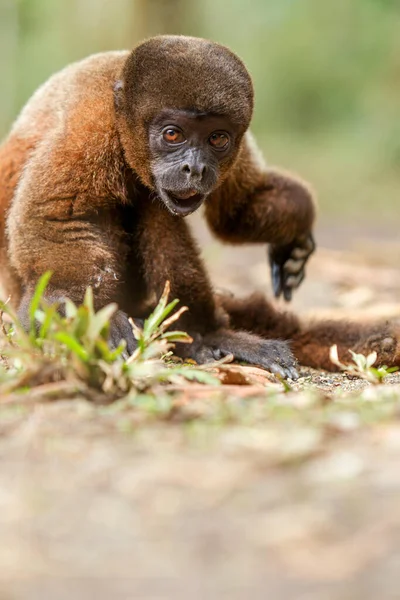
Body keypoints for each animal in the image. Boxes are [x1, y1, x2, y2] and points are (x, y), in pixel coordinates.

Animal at [0, 35, 398, 378]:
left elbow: (236, 213)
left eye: (217, 139)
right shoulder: (90, 130)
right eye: (172, 134)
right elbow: (52, 218)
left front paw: (295, 238)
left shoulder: (236, 144)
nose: (196, 168)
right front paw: (84, 314)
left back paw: (206, 335)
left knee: (156, 210)